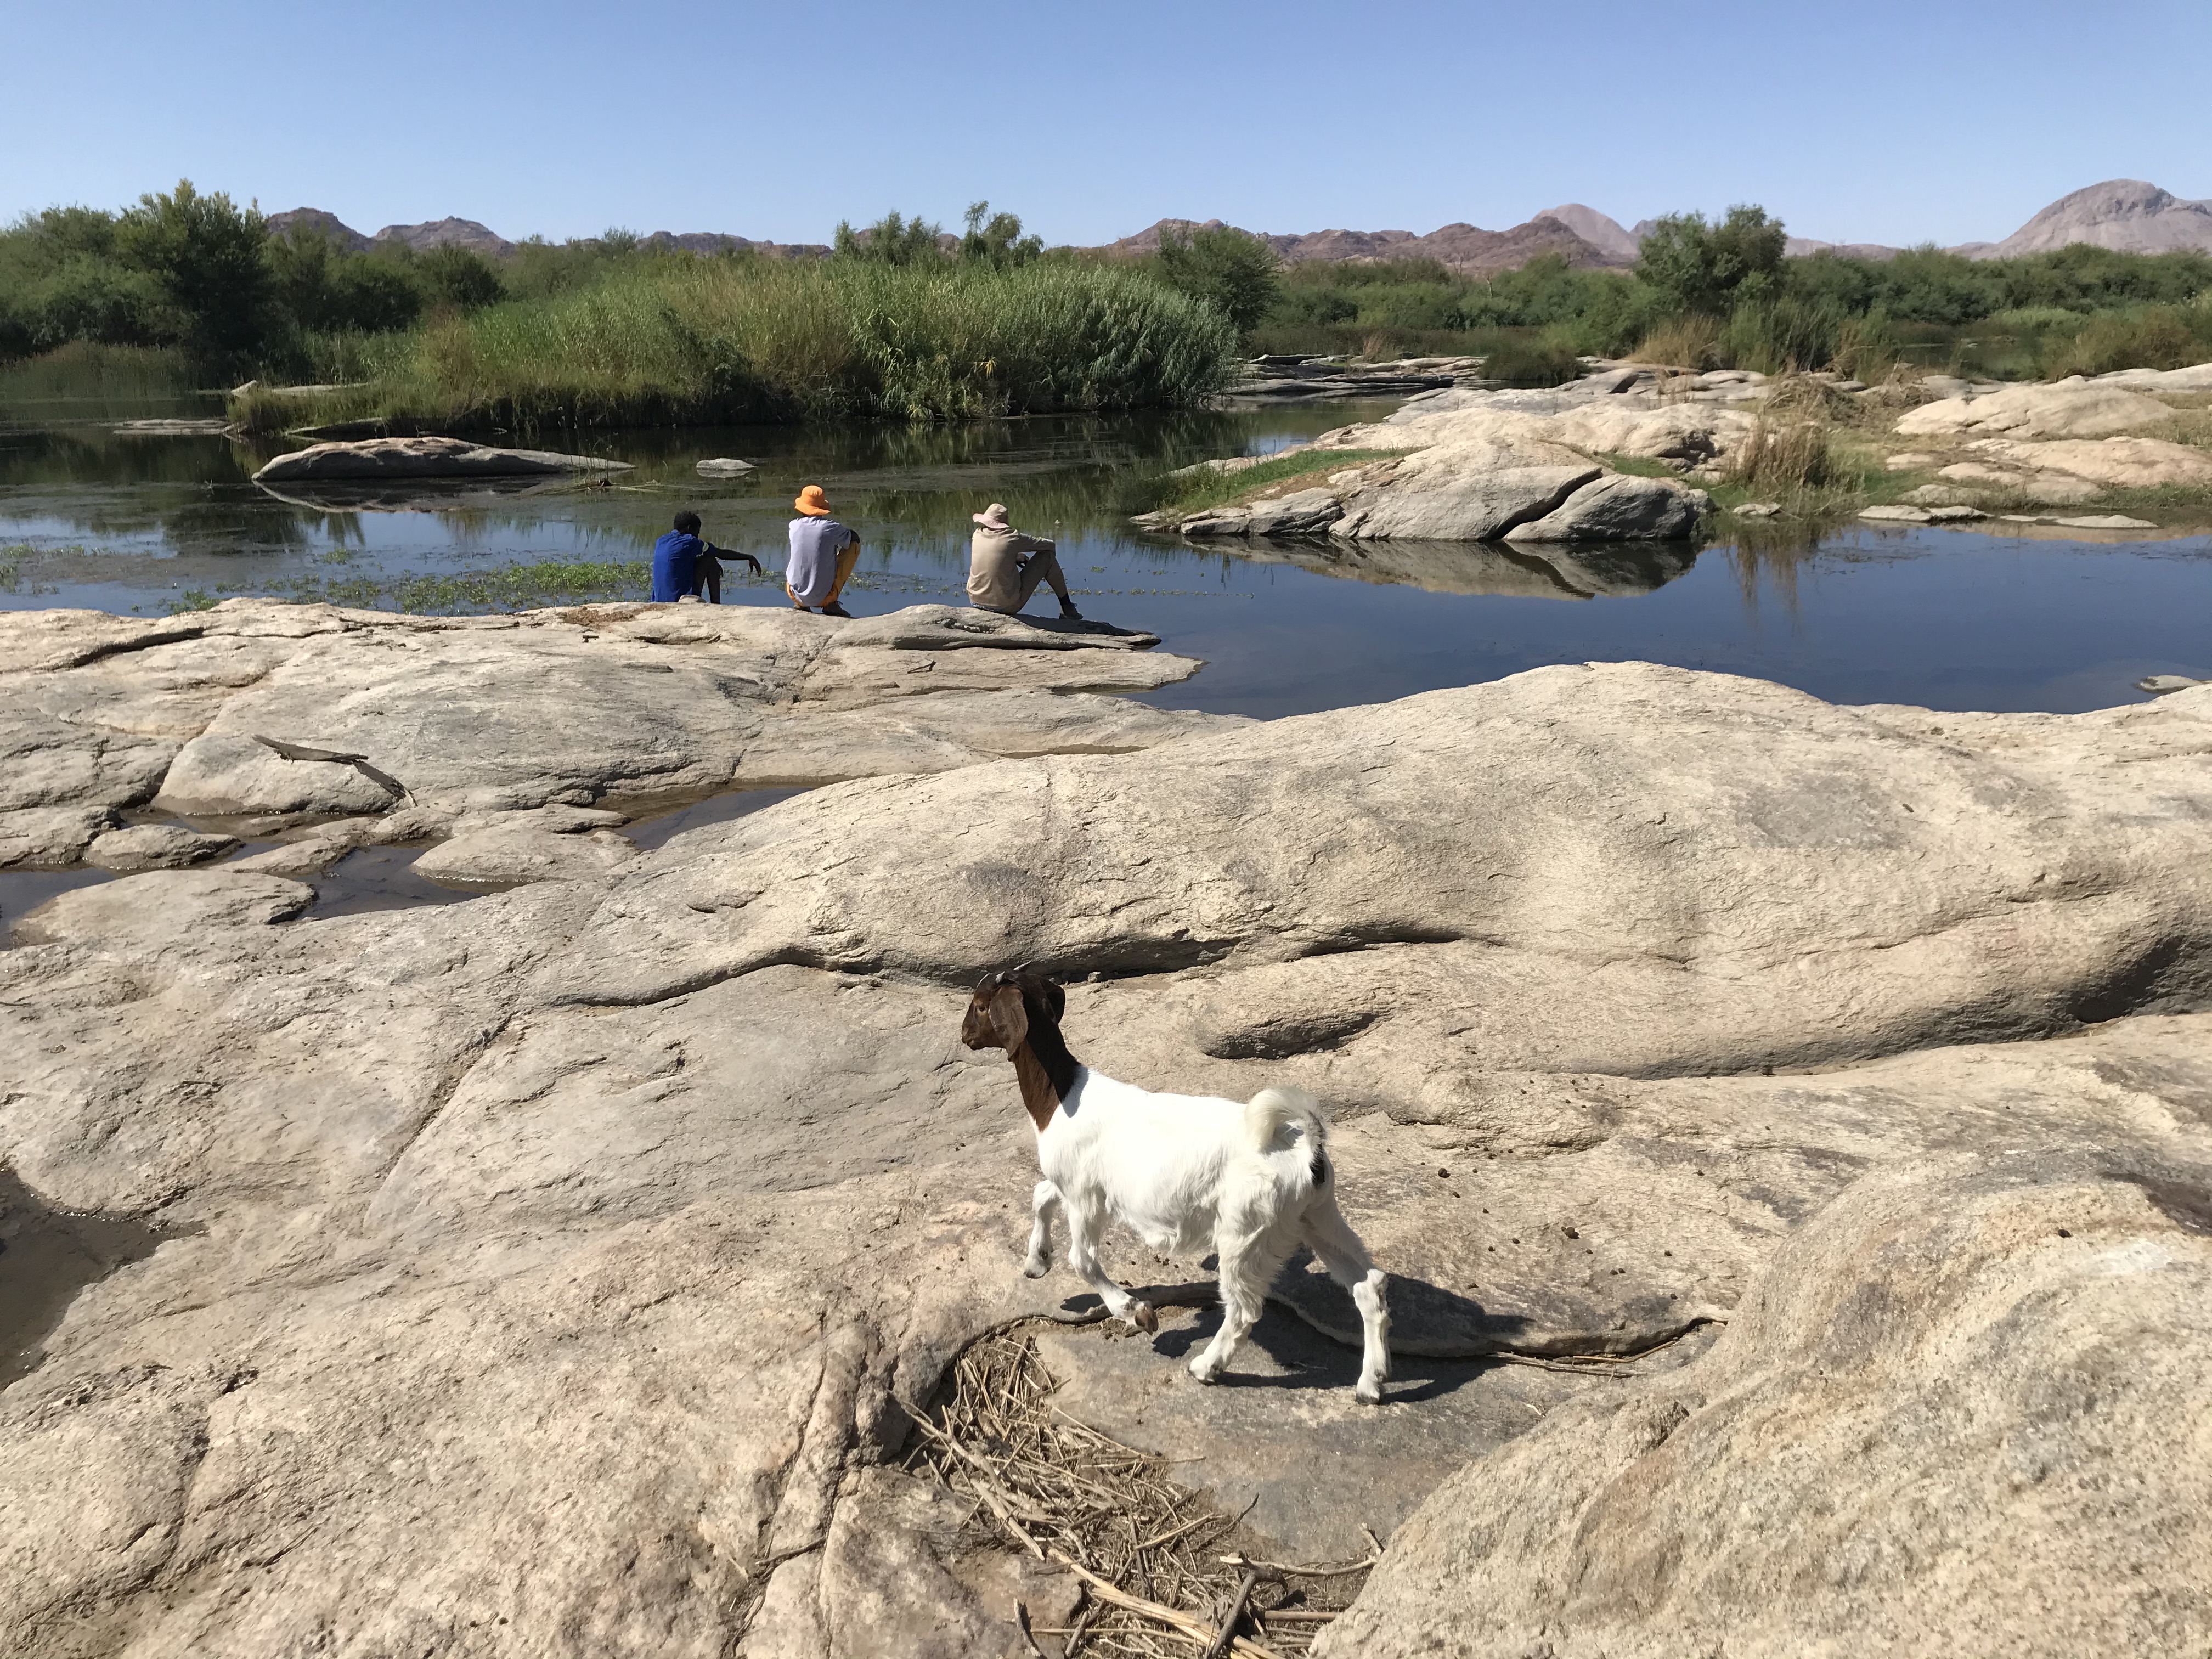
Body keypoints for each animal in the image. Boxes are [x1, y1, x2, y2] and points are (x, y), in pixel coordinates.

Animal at [960, 969, 1389, 1407]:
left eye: (980, 1006)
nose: (964, 1036)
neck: (1060, 1098)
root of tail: (1306, 1145)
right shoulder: (1074, 1185)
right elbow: (1041, 1195)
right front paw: (1036, 1261)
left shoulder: (1084, 1196)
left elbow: (1082, 1260)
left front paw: (1136, 1312)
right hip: (1316, 1216)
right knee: (1369, 1285)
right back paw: (1370, 1384)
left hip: (1247, 1230)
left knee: (1244, 1309)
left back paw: (1206, 1367)